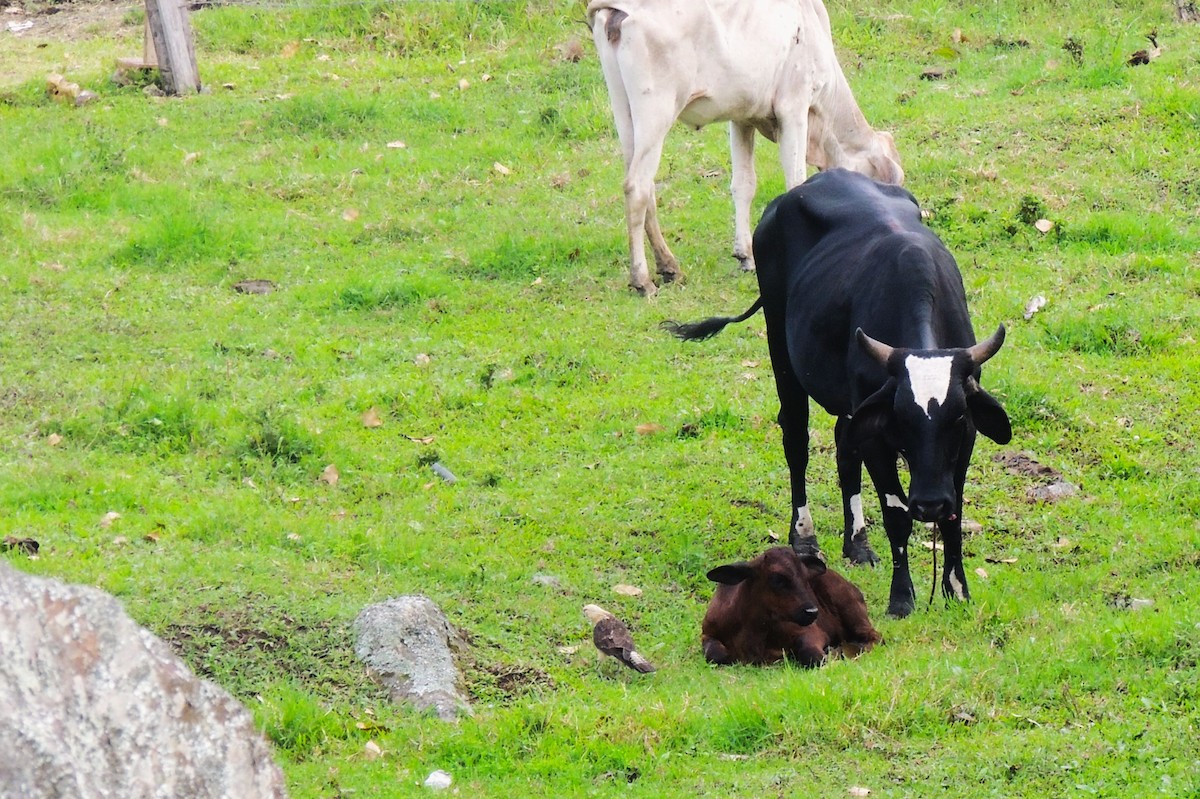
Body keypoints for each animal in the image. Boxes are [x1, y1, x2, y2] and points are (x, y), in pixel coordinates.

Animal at [585, 0, 902, 295]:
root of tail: (620, 8)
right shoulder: (794, 107)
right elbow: (796, 182)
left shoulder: (742, 118)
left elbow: (744, 185)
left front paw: (745, 255)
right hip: (656, 111)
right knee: (637, 187)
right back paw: (642, 279)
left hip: (625, 114)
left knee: (645, 185)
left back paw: (668, 266)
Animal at [667, 167, 1012, 614]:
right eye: (901, 419)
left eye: (955, 419)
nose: (930, 504)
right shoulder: (878, 437)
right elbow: (896, 513)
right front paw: (902, 598)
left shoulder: (963, 439)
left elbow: (955, 512)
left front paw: (957, 590)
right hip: (781, 349)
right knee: (796, 439)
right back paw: (804, 538)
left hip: (849, 405)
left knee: (844, 449)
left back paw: (858, 544)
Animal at [700, 542, 883, 667]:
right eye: (777, 579)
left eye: (806, 578)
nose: (812, 611)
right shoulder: (707, 633)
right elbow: (715, 654)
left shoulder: (811, 632)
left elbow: (812, 655)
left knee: (875, 637)